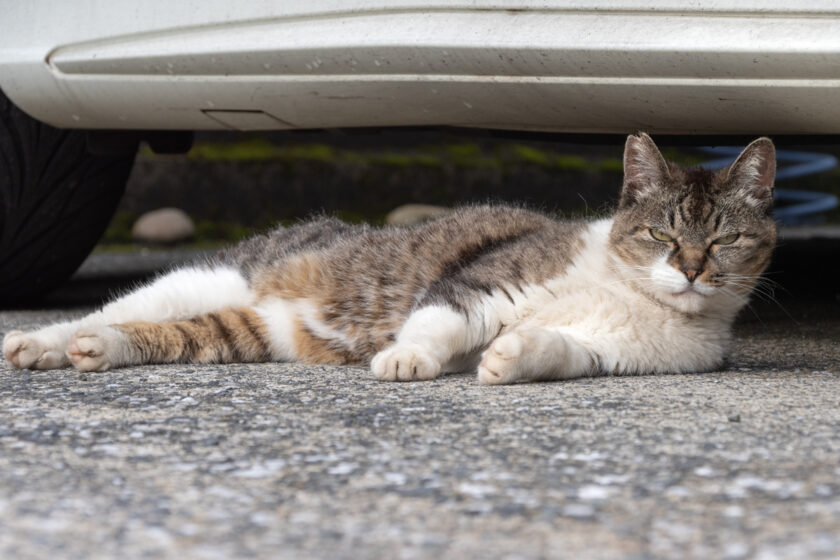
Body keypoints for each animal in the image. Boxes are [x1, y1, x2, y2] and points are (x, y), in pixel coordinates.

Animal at [1, 133, 776, 382]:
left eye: (725, 240)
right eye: (663, 236)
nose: (692, 269)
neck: (632, 297)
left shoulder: (607, 353)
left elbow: (555, 348)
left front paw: (509, 359)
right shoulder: (484, 283)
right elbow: (440, 320)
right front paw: (406, 359)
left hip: (246, 332)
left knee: (149, 334)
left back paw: (94, 351)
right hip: (205, 276)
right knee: (105, 309)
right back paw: (38, 343)